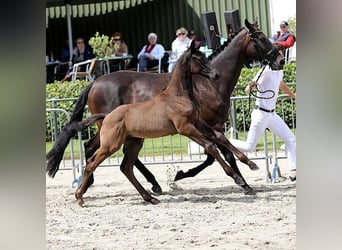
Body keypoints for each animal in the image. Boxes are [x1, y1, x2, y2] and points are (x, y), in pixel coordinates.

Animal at [46, 20, 284, 195]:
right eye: (260, 38)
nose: (280, 60)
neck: (209, 84)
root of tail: (94, 82)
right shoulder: (207, 124)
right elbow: (219, 154)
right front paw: (242, 183)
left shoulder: (208, 125)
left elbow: (217, 152)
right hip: (109, 126)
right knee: (101, 150)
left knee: (97, 149)